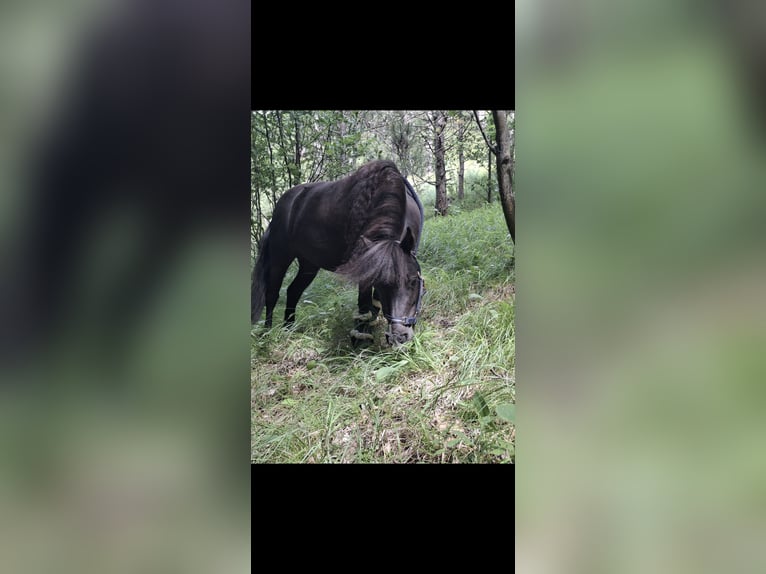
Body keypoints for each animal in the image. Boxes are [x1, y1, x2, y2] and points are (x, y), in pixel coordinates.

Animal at [251, 160, 425, 345]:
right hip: (280, 258)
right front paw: (360, 337)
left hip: (309, 264)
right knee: (272, 294)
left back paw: (289, 329)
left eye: (413, 281)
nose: (399, 337)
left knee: (293, 291)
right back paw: (268, 333)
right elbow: (364, 303)